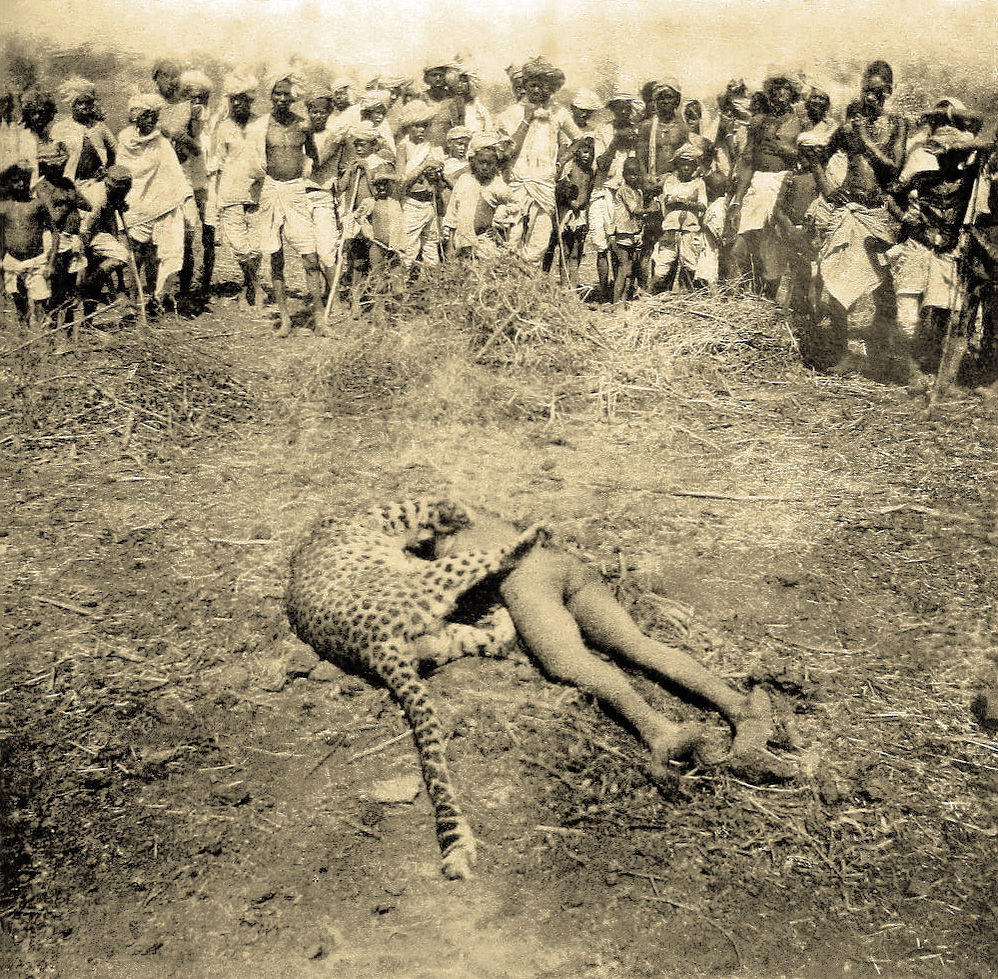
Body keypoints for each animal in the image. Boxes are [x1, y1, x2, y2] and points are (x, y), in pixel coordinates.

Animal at [285, 498, 549, 880]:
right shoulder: (388, 517)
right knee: (488, 561)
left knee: (494, 641)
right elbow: (424, 502)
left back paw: (502, 616)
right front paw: (456, 513)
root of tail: (371, 648)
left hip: (441, 636)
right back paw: (527, 540)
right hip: (426, 581)